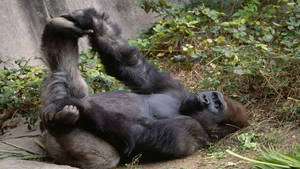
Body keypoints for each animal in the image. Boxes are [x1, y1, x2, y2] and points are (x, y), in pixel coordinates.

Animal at [39, 8, 248, 169]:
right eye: (213, 97)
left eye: (217, 106)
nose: (205, 98)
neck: (183, 108)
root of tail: (45, 140)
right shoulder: (175, 88)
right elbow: (133, 66)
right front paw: (91, 19)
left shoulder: (193, 130)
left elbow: (138, 133)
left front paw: (77, 104)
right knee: (65, 75)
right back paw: (57, 30)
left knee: (106, 158)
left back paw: (63, 122)